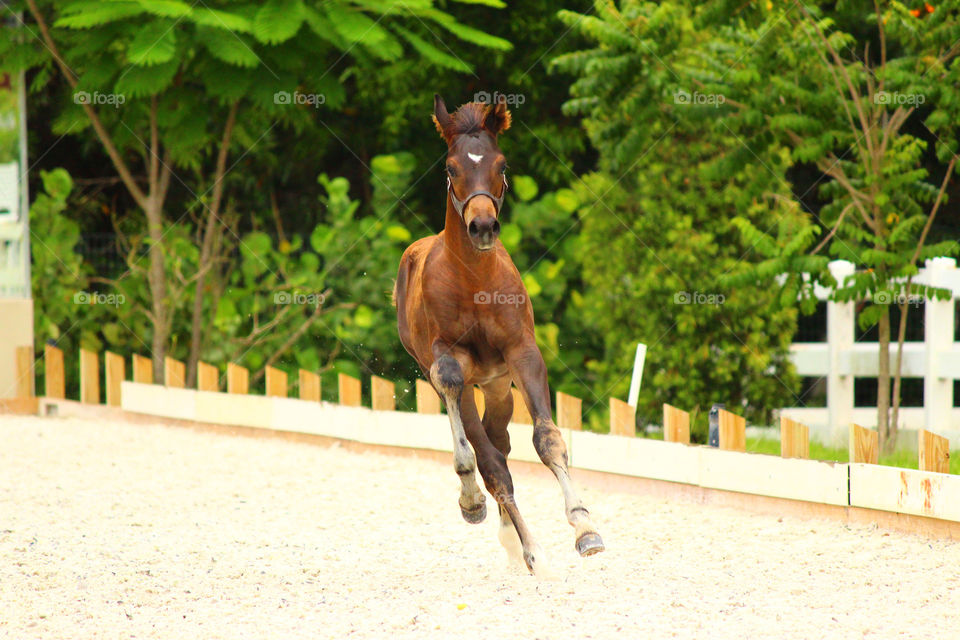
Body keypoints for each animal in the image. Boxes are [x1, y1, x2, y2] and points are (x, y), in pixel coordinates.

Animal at [393, 94, 604, 576]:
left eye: (501, 164)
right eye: (451, 167)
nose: (483, 226)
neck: (474, 282)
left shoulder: (523, 353)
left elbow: (547, 440)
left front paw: (585, 529)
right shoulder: (449, 361)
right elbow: (484, 458)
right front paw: (531, 549)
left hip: (497, 385)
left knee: (502, 441)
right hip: (455, 375)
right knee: (486, 451)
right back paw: (497, 523)